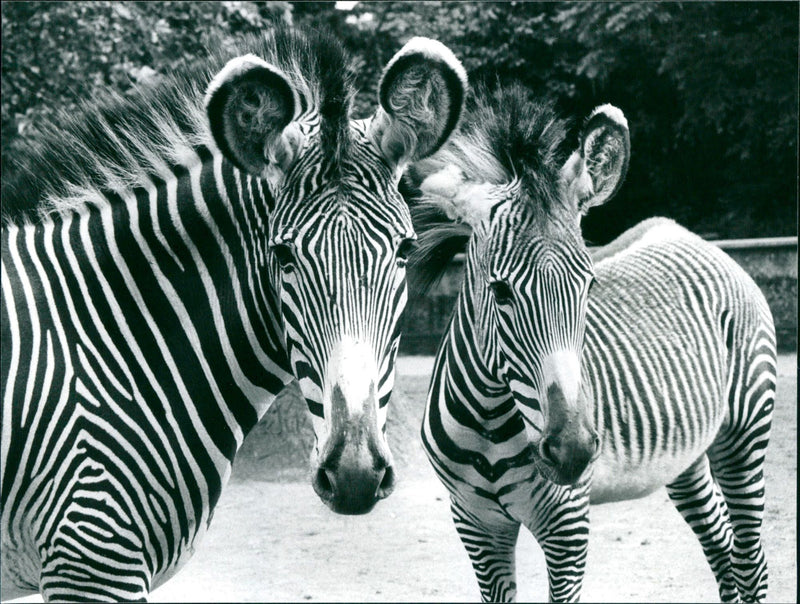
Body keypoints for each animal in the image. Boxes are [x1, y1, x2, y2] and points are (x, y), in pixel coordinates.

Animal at [406, 84, 776, 602]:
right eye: (500, 291)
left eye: (589, 285)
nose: (574, 451)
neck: (489, 420)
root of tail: (686, 233)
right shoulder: (475, 524)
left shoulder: (567, 525)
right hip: (684, 459)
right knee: (722, 546)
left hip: (744, 434)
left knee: (750, 559)